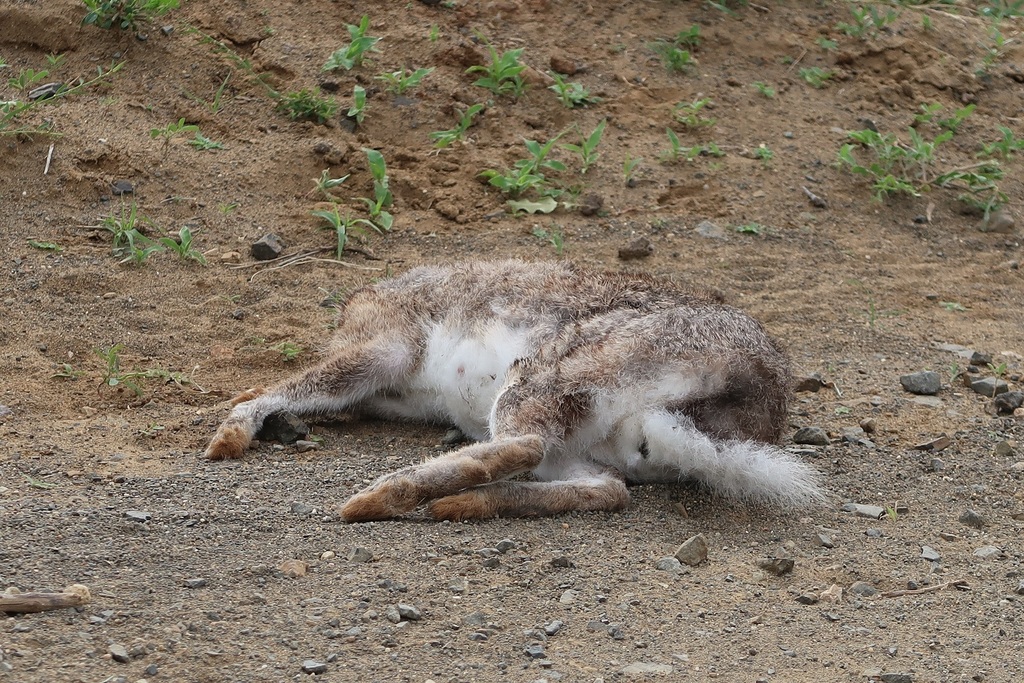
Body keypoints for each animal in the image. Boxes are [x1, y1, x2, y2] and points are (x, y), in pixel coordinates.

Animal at [205, 260, 824, 521]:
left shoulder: (382, 348)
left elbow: (278, 392)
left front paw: (227, 438)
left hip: (547, 375)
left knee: (523, 444)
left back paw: (380, 500)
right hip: (588, 439)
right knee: (605, 489)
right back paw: (461, 504)